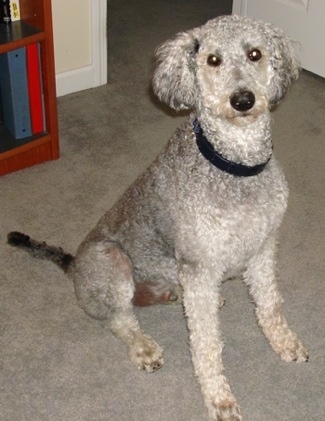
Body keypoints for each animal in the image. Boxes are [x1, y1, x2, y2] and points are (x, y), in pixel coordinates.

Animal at [6, 15, 306, 420]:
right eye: (213, 60)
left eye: (255, 54)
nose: (242, 100)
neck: (235, 169)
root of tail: (72, 265)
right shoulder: (199, 266)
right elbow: (207, 344)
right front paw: (219, 398)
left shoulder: (262, 249)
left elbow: (270, 304)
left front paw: (284, 342)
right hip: (112, 259)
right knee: (119, 319)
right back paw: (144, 346)